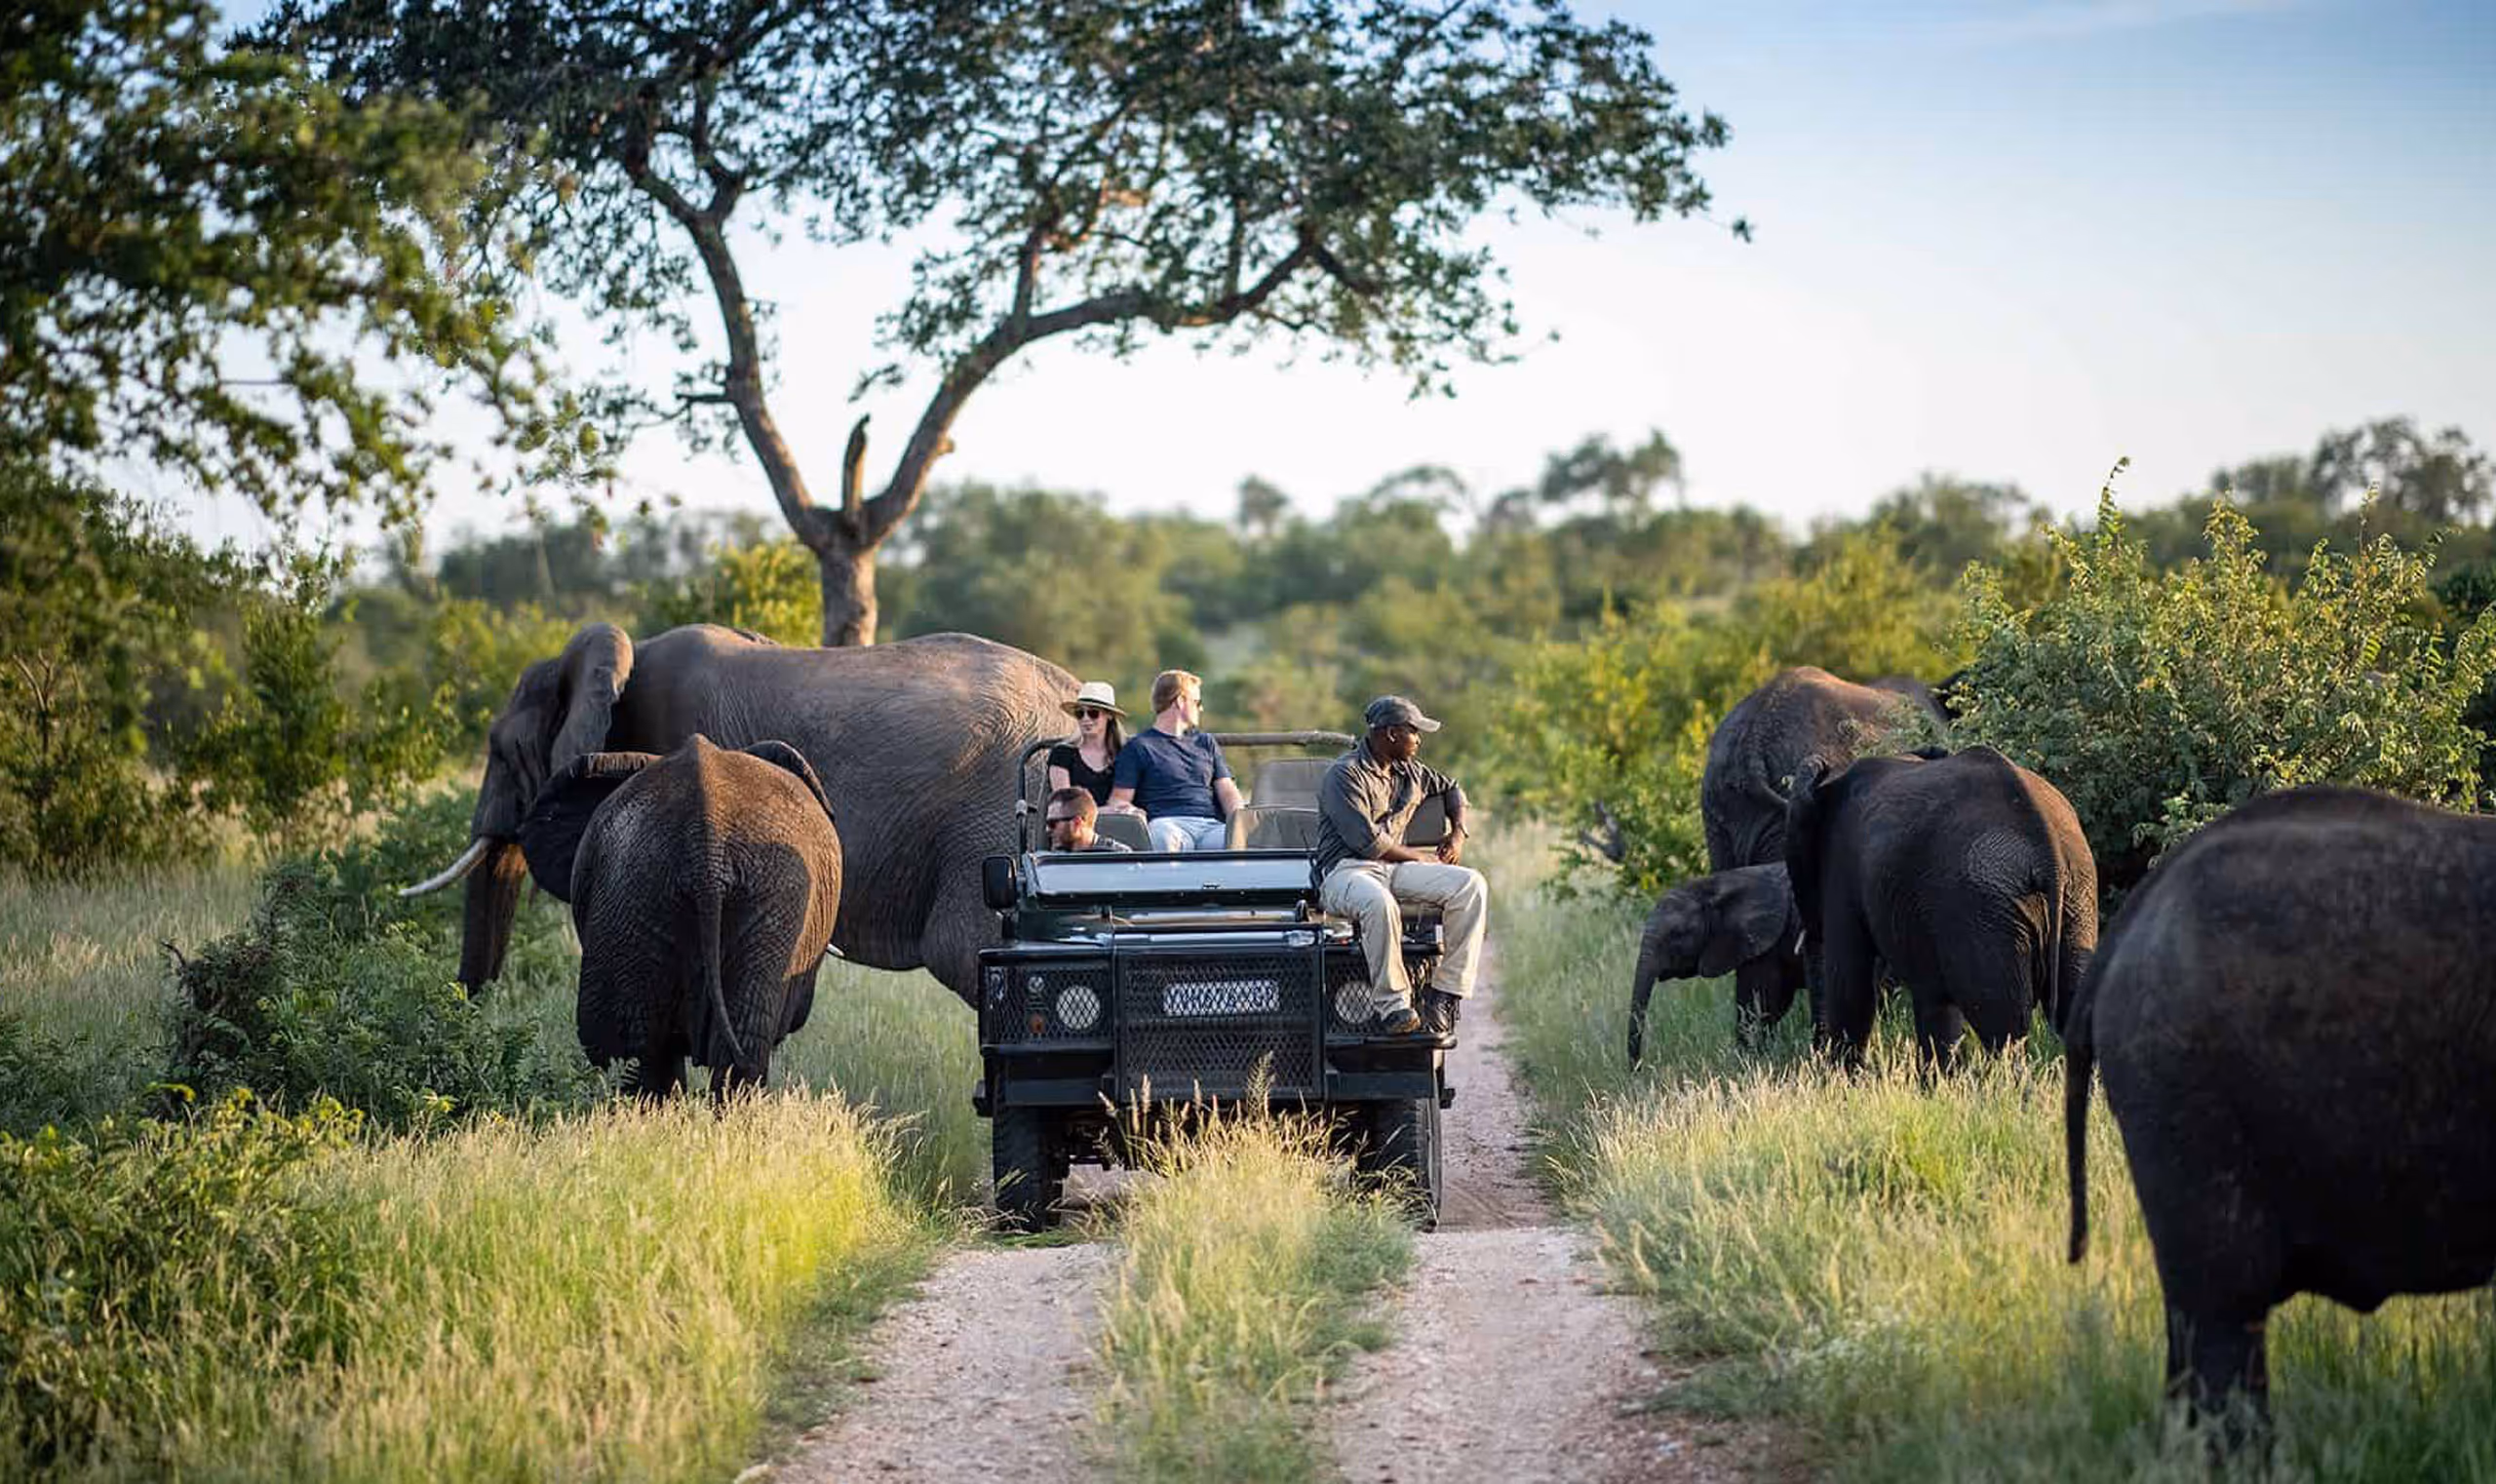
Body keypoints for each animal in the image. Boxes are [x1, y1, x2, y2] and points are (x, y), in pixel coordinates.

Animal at [1784, 745, 2095, 1064]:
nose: (1815, 1057)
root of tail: (2048, 851)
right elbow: (1934, 1000)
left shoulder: (1842, 868)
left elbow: (1850, 984)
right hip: (2075, 898)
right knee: (2070, 1004)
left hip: (1982, 908)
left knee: (2003, 1026)